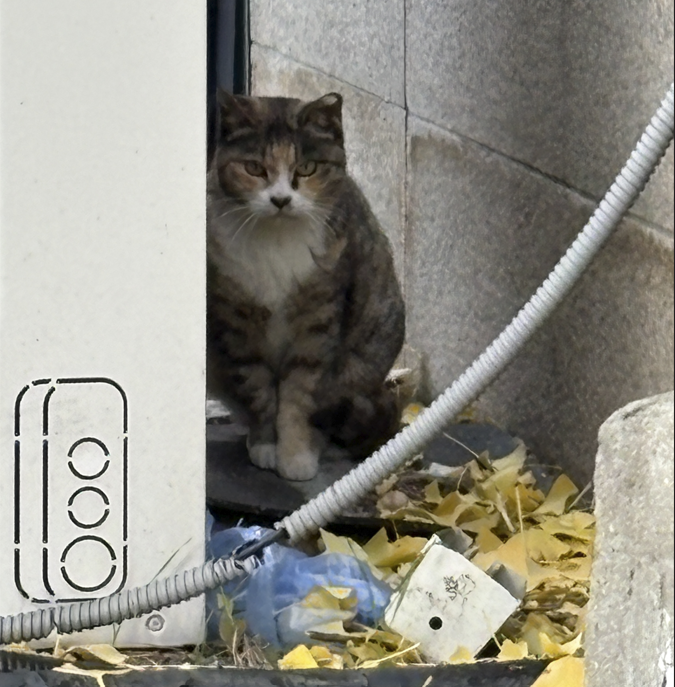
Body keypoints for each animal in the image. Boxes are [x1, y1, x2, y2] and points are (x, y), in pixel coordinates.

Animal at [207, 90, 405, 481]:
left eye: (307, 168)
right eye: (254, 168)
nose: (281, 200)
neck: (277, 241)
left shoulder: (318, 320)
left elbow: (300, 392)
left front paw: (296, 455)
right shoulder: (237, 323)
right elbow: (258, 390)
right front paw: (266, 444)